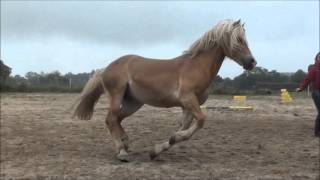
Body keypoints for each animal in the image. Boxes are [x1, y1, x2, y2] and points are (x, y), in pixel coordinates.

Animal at [73, 19, 258, 161]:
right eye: (239, 40)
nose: (252, 62)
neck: (196, 67)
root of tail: (106, 68)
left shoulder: (189, 105)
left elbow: (184, 128)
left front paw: (156, 151)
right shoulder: (188, 100)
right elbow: (200, 121)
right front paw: (168, 142)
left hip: (134, 102)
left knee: (117, 119)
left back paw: (126, 143)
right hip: (117, 95)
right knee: (111, 119)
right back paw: (122, 151)